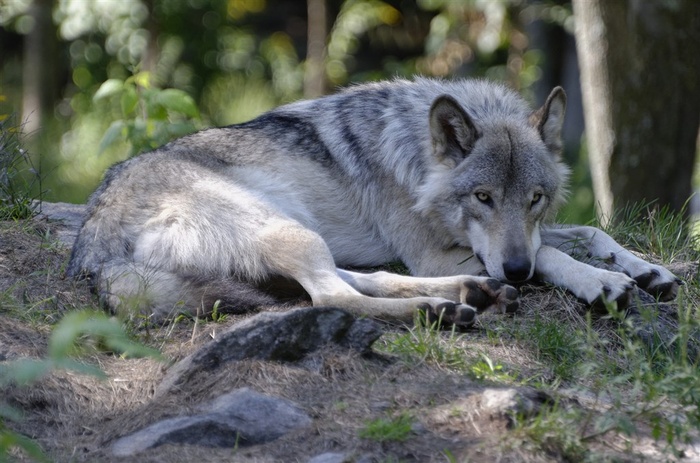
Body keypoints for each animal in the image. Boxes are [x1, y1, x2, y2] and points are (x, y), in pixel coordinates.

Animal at [68, 77, 680, 326]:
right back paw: (443, 308)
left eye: (536, 199)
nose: (513, 271)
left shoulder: (503, 241)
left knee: (360, 280)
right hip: (284, 227)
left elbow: (588, 233)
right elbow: (552, 254)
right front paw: (601, 283)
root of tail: (93, 248)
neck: (416, 157)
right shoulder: (438, 252)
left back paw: (471, 291)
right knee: (332, 297)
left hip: (294, 233)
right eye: (482, 197)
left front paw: (646, 269)